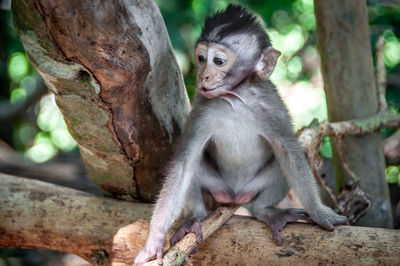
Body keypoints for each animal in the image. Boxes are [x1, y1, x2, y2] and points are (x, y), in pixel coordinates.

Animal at [134, 4, 346, 266]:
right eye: (201, 58)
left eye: (218, 61)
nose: (203, 76)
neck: (234, 100)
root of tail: (234, 194)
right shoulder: (201, 110)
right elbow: (184, 163)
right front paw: (154, 240)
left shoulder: (272, 107)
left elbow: (289, 152)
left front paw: (318, 212)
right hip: (218, 187)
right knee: (193, 167)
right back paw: (195, 218)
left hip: (251, 188)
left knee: (283, 167)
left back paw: (266, 211)